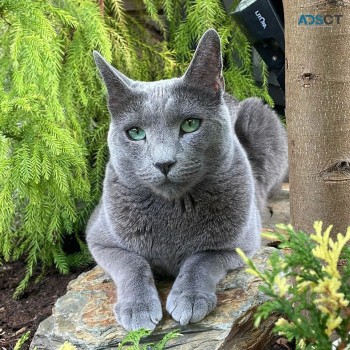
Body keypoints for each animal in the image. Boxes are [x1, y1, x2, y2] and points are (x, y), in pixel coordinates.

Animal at [86, 29, 288, 330]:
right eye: (135, 133)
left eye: (190, 124)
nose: (164, 162)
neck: (174, 209)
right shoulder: (99, 238)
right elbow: (131, 262)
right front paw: (138, 309)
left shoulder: (241, 242)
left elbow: (201, 258)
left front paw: (189, 299)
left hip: (260, 117)